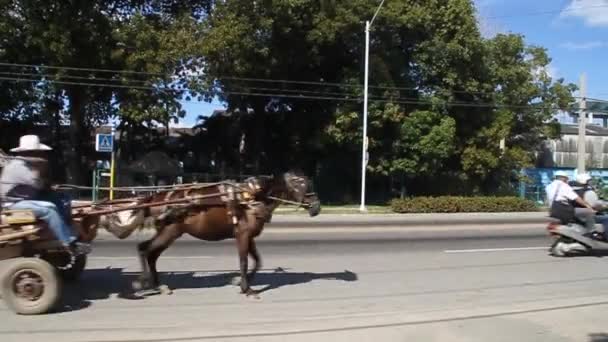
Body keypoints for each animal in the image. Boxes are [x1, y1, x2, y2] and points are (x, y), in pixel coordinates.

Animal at [103, 170, 324, 296]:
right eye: (303, 184)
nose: (317, 207)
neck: (252, 197)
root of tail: (156, 197)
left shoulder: (248, 235)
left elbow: (257, 261)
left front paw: (240, 281)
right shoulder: (242, 235)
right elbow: (244, 261)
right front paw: (246, 288)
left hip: (169, 232)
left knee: (151, 254)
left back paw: (158, 285)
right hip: (170, 231)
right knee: (145, 250)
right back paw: (142, 282)